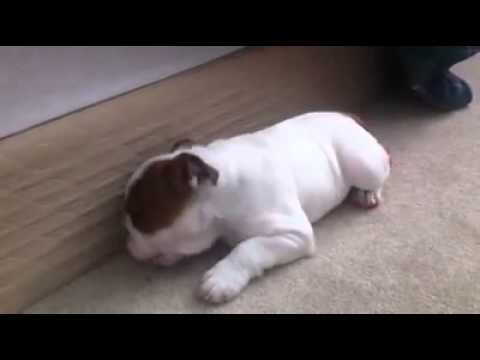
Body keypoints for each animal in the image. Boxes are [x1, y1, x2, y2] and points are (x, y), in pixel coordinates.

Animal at [123, 112, 390, 304]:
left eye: (137, 216)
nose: (126, 243)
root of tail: (347, 116)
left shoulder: (294, 233)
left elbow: (249, 247)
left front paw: (222, 278)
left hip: (362, 164)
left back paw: (368, 193)